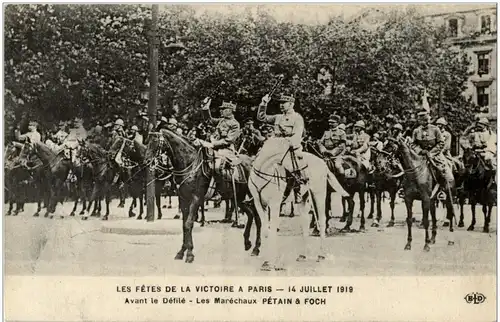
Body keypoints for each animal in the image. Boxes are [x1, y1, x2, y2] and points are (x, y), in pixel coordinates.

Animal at [248, 137, 346, 270]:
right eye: (299, 157)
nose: (305, 178)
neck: (264, 172)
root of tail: (323, 162)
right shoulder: (259, 204)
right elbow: (265, 231)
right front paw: (266, 260)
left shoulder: (274, 204)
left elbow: (272, 230)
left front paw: (271, 262)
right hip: (303, 199)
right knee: (305, 222)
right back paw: (303, 255)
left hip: (319, 195)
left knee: (321, 221)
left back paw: (321, 254)